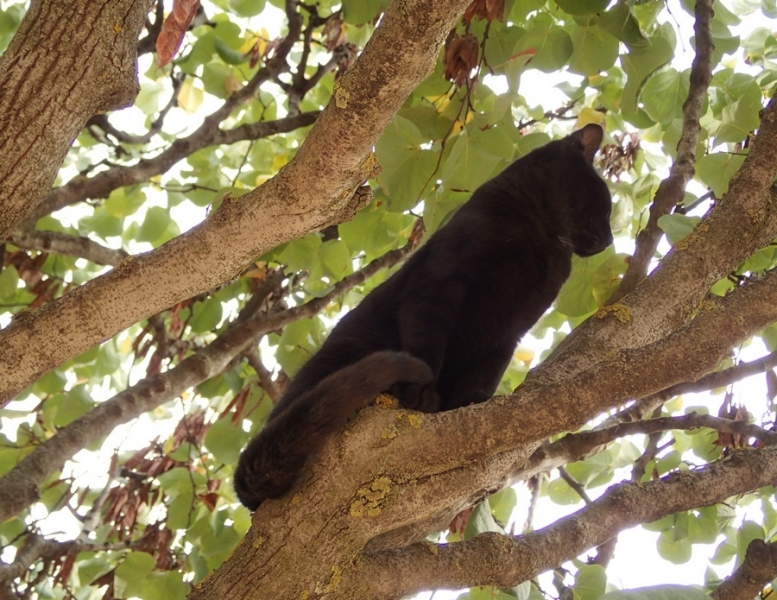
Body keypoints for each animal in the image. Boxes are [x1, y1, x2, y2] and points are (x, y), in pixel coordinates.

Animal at [232, 124, 612, 508]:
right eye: (607, 205)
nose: (610, 240)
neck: (544, 238)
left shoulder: (508, 333)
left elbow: (486, 372)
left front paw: (470, 401)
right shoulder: (437, 288)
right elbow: (428, 345)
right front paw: (420, 393)